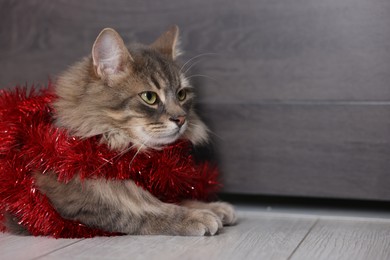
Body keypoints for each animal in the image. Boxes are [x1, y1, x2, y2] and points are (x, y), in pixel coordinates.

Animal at [4, 25, 236, 236]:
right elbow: (144, 211)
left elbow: (173, 199)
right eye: (149, 97)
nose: (181, 119)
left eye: (181, 95)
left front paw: (213, 206)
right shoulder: (76, 197)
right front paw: (197, 216)